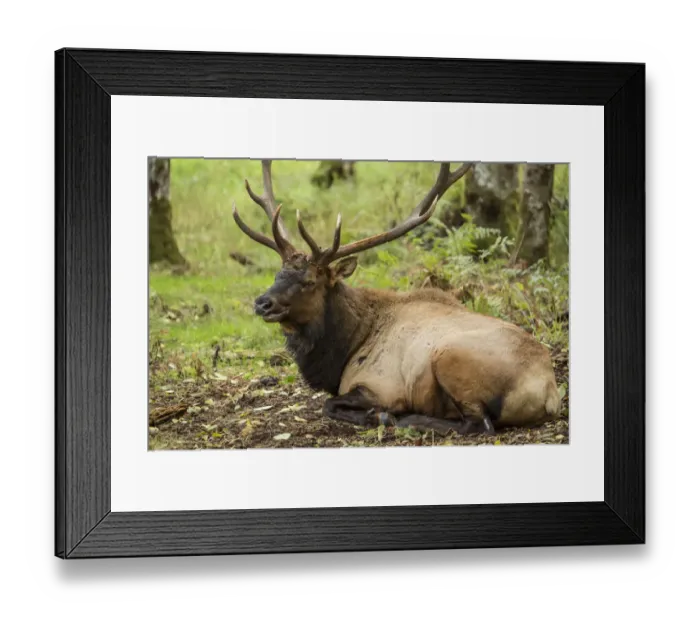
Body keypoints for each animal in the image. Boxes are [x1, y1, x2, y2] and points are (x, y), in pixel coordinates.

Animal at [231, 160, 562, 436]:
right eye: (278, 274)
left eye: (309, 281)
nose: (262, 303)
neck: (344, 349)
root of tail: (549, 393)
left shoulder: (381, 386)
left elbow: (330, 405)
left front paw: (379, 415)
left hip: (450, 357)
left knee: (479, 425)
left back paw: (405, 419)